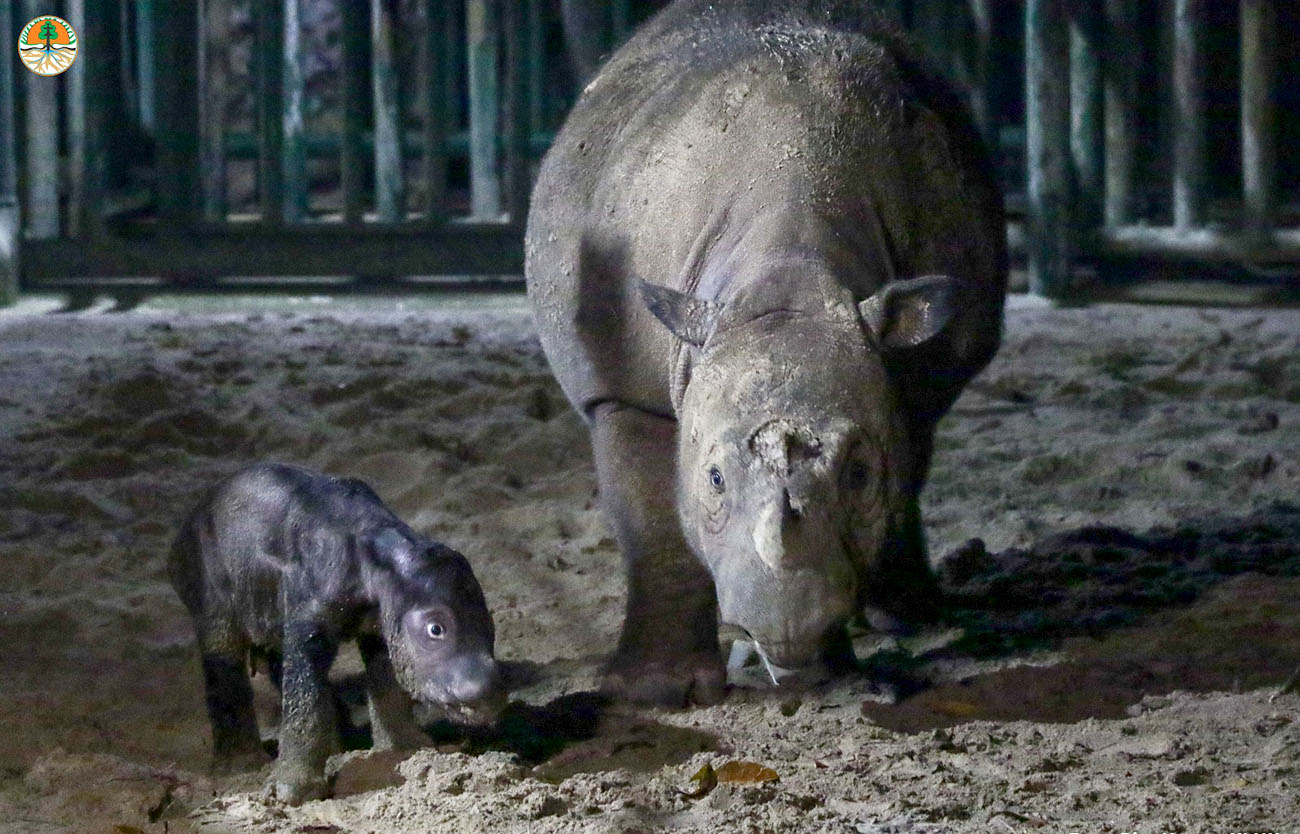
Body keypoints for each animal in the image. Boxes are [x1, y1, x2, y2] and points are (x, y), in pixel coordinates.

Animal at [169, 462, 501, 800]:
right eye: (436, 629)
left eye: (490, 624)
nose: (485, 693)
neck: (377, 556)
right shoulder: (311, 606)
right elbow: (305, 692)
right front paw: (294, 790)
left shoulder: (382, 617)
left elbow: (385, 676)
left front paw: (406, 749)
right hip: (206, 578)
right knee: (223, 652)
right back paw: (241, 766)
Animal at [527, 0, 1003, 701]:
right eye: (714, 479)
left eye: (860, 474)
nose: (784, 633)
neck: (789, 274)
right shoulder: (622, 384)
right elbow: (652, 522)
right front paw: (657, 690)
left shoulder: (908, 369)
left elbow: (898, 469)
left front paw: (828, 667)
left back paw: (909, 621)